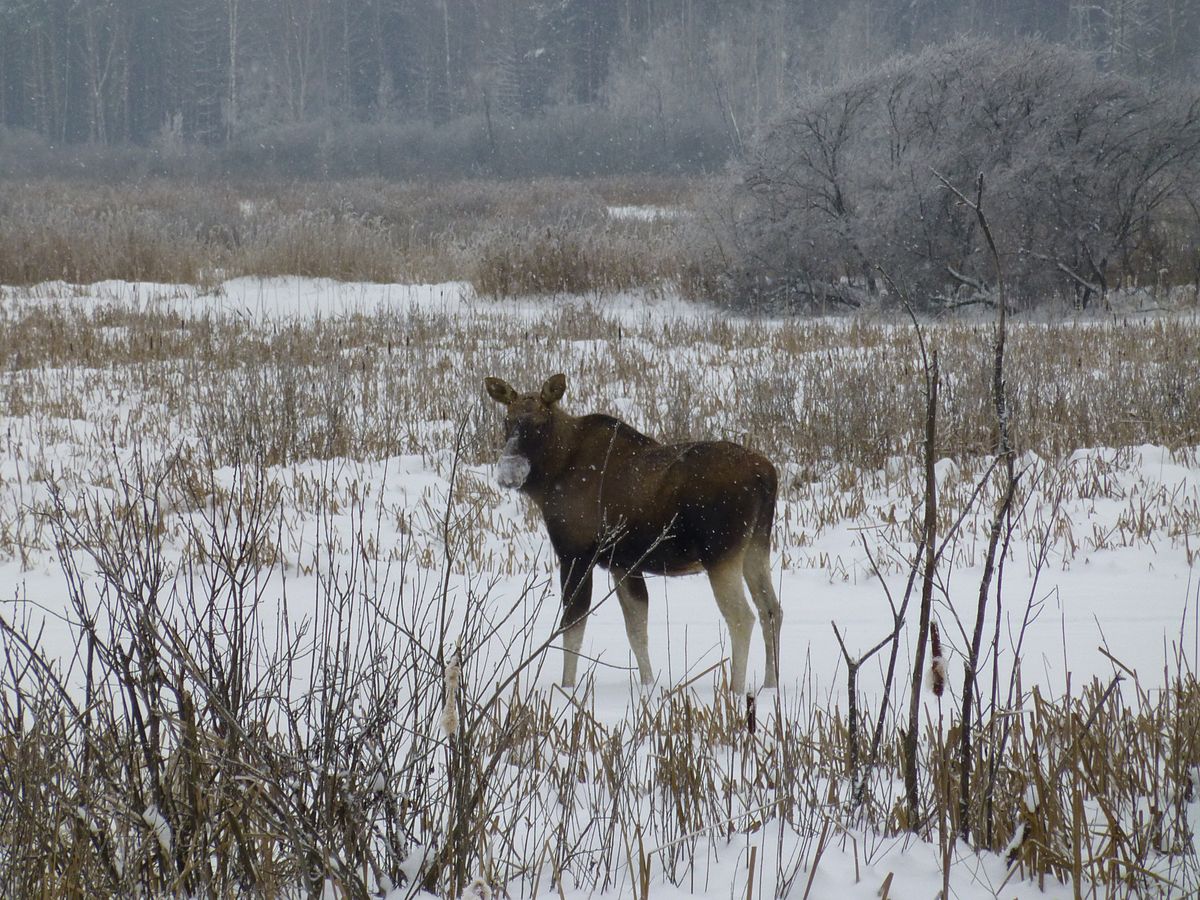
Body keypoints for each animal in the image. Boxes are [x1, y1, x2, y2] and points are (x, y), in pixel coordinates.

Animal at [482, 374, 782, 696]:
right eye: (506, 421)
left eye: (540, 424)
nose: (508, 473)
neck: (551, 478)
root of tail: (768, 476)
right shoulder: (621, 564)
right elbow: (637, 628)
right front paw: (648, 685)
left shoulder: (575, 554)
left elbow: (572, 627)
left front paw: (567, 688)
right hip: (756, 546)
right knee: (771, 610)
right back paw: (770, 686)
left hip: (721, 553)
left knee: (742, 617)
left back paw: (735, 692)